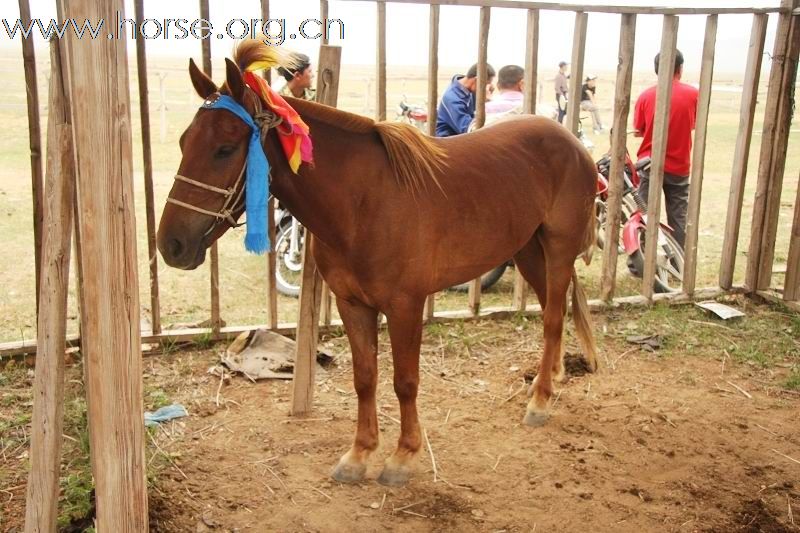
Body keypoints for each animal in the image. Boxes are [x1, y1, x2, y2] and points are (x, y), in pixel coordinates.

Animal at [159, 40, 596, 486]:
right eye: (183, 142)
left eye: (225, 149)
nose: (171, 244)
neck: (364, 202)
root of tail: (571, 142)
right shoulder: (353, 304)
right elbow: (365, 378)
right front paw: (359, 453)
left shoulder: (405, 307)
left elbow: (405, 381)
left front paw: (403, 455)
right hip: (527, 251)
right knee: (553, 310)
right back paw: (549, 379)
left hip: (558, 250)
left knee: (553, 318)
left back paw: (540, 400)